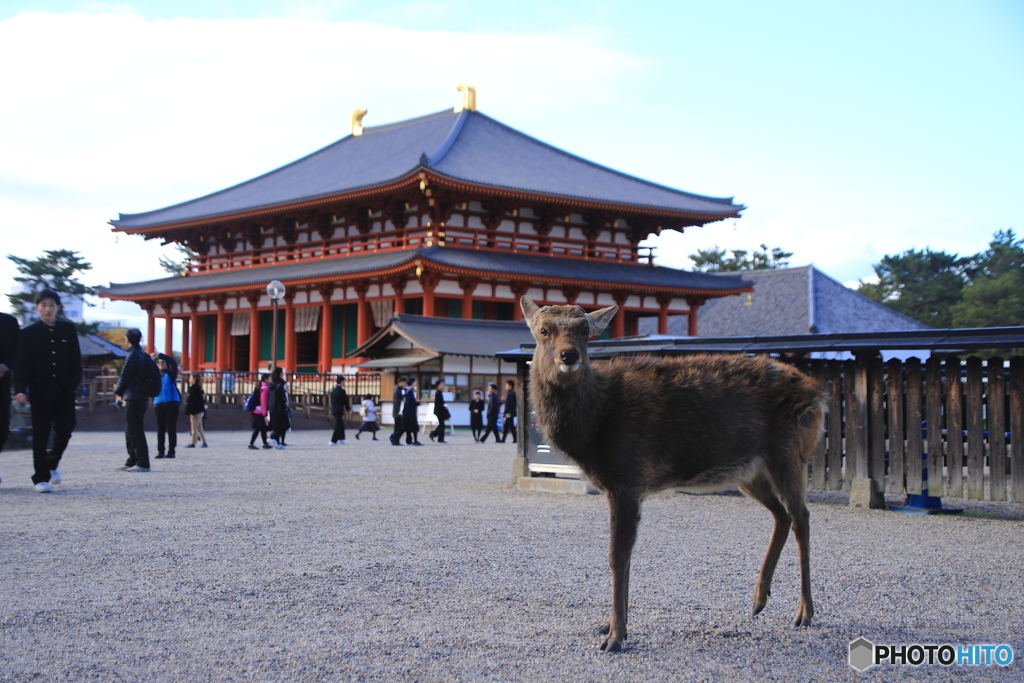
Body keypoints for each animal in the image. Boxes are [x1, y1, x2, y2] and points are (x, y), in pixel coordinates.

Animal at [524, 296, 827, 651]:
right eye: (544, 330)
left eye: (586, 330)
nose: (569, 355)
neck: (593, 428)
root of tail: (819, 393)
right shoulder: (626, 486)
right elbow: (626, 556)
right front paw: (609, 625)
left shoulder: (627, 476)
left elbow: (617, 556)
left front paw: (616, 636)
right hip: (750, 471)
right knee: (782, 515)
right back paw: (759, 599)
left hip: (789, 452)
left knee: (802, 517)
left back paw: (805, 612)